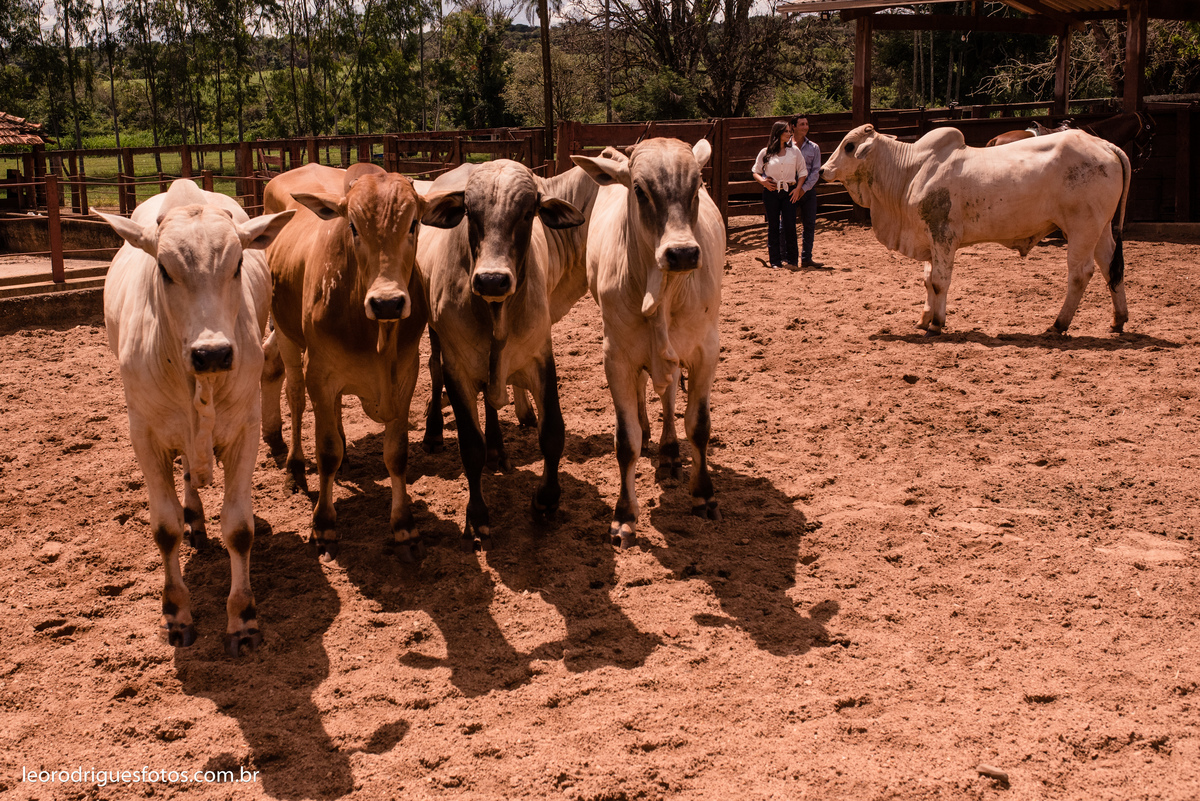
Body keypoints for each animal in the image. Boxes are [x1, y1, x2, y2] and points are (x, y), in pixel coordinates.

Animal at [95, 180, 294, 656]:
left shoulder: (245, 429)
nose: (213, 353)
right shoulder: (144, 434)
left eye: (237, 264)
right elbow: (164, 528)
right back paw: (194, 519)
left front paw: (243, 619)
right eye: (164, 269)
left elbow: (239, 529)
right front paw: (176, 614)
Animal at [261, 162, 428, 563]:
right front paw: (323, 526)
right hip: (287, 336)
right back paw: (294, 469)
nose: (387, 302)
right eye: (352, 226)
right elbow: (326, 450)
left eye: (414, 224)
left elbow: (396, 454)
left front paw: (404, 527)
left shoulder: (407, 374)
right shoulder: (320, 374)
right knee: (294, 396)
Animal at [418, 159, 592, 550]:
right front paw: (478, 516)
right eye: (469, 212)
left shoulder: (540, 357)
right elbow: (471, 447)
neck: (496, 314)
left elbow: (552, 433)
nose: (492, 280)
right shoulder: (457, 368)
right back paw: (433, 433)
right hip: (435, 337)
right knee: (434, 372)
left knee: (491, 401)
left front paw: (546, 500)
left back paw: (498, 449)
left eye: (528, 213)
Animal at [571, 137, 726, 549]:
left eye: (697, 186)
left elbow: (698, 426)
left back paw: (670, 452)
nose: (682, 253)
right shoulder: (616, 356)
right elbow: (627, 441)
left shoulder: (706, 350)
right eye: (639, 190)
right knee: (647, 391)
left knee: (669, 394)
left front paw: (704, 496)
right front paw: (624, 516)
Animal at [820, 125, 1130, 336]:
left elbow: (939, 281)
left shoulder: (943, 235)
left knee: (1080, 273)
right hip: (1100, 229)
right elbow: (928, 279)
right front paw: (925, 318)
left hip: (1081, 229)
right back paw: (1118, 319)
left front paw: (936, 324)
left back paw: (1058, 324)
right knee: (1110, 267)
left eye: (849, 146)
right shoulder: (929, 238)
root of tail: (1105, 145)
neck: (910, 170)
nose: (822, 170)